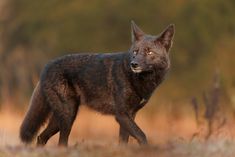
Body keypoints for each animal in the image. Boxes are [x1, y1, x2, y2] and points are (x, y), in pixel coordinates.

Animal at [19, 20, 174, 146]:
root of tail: (46, 66)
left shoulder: (130, 115)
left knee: (41, 137)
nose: (134, 64)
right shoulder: (122, 115)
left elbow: (123, 142)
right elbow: (142, 136)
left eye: (149, 52)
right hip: (68, 116)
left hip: (61, 118)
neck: (139, 79)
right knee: (60, 142)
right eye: (135, 51)